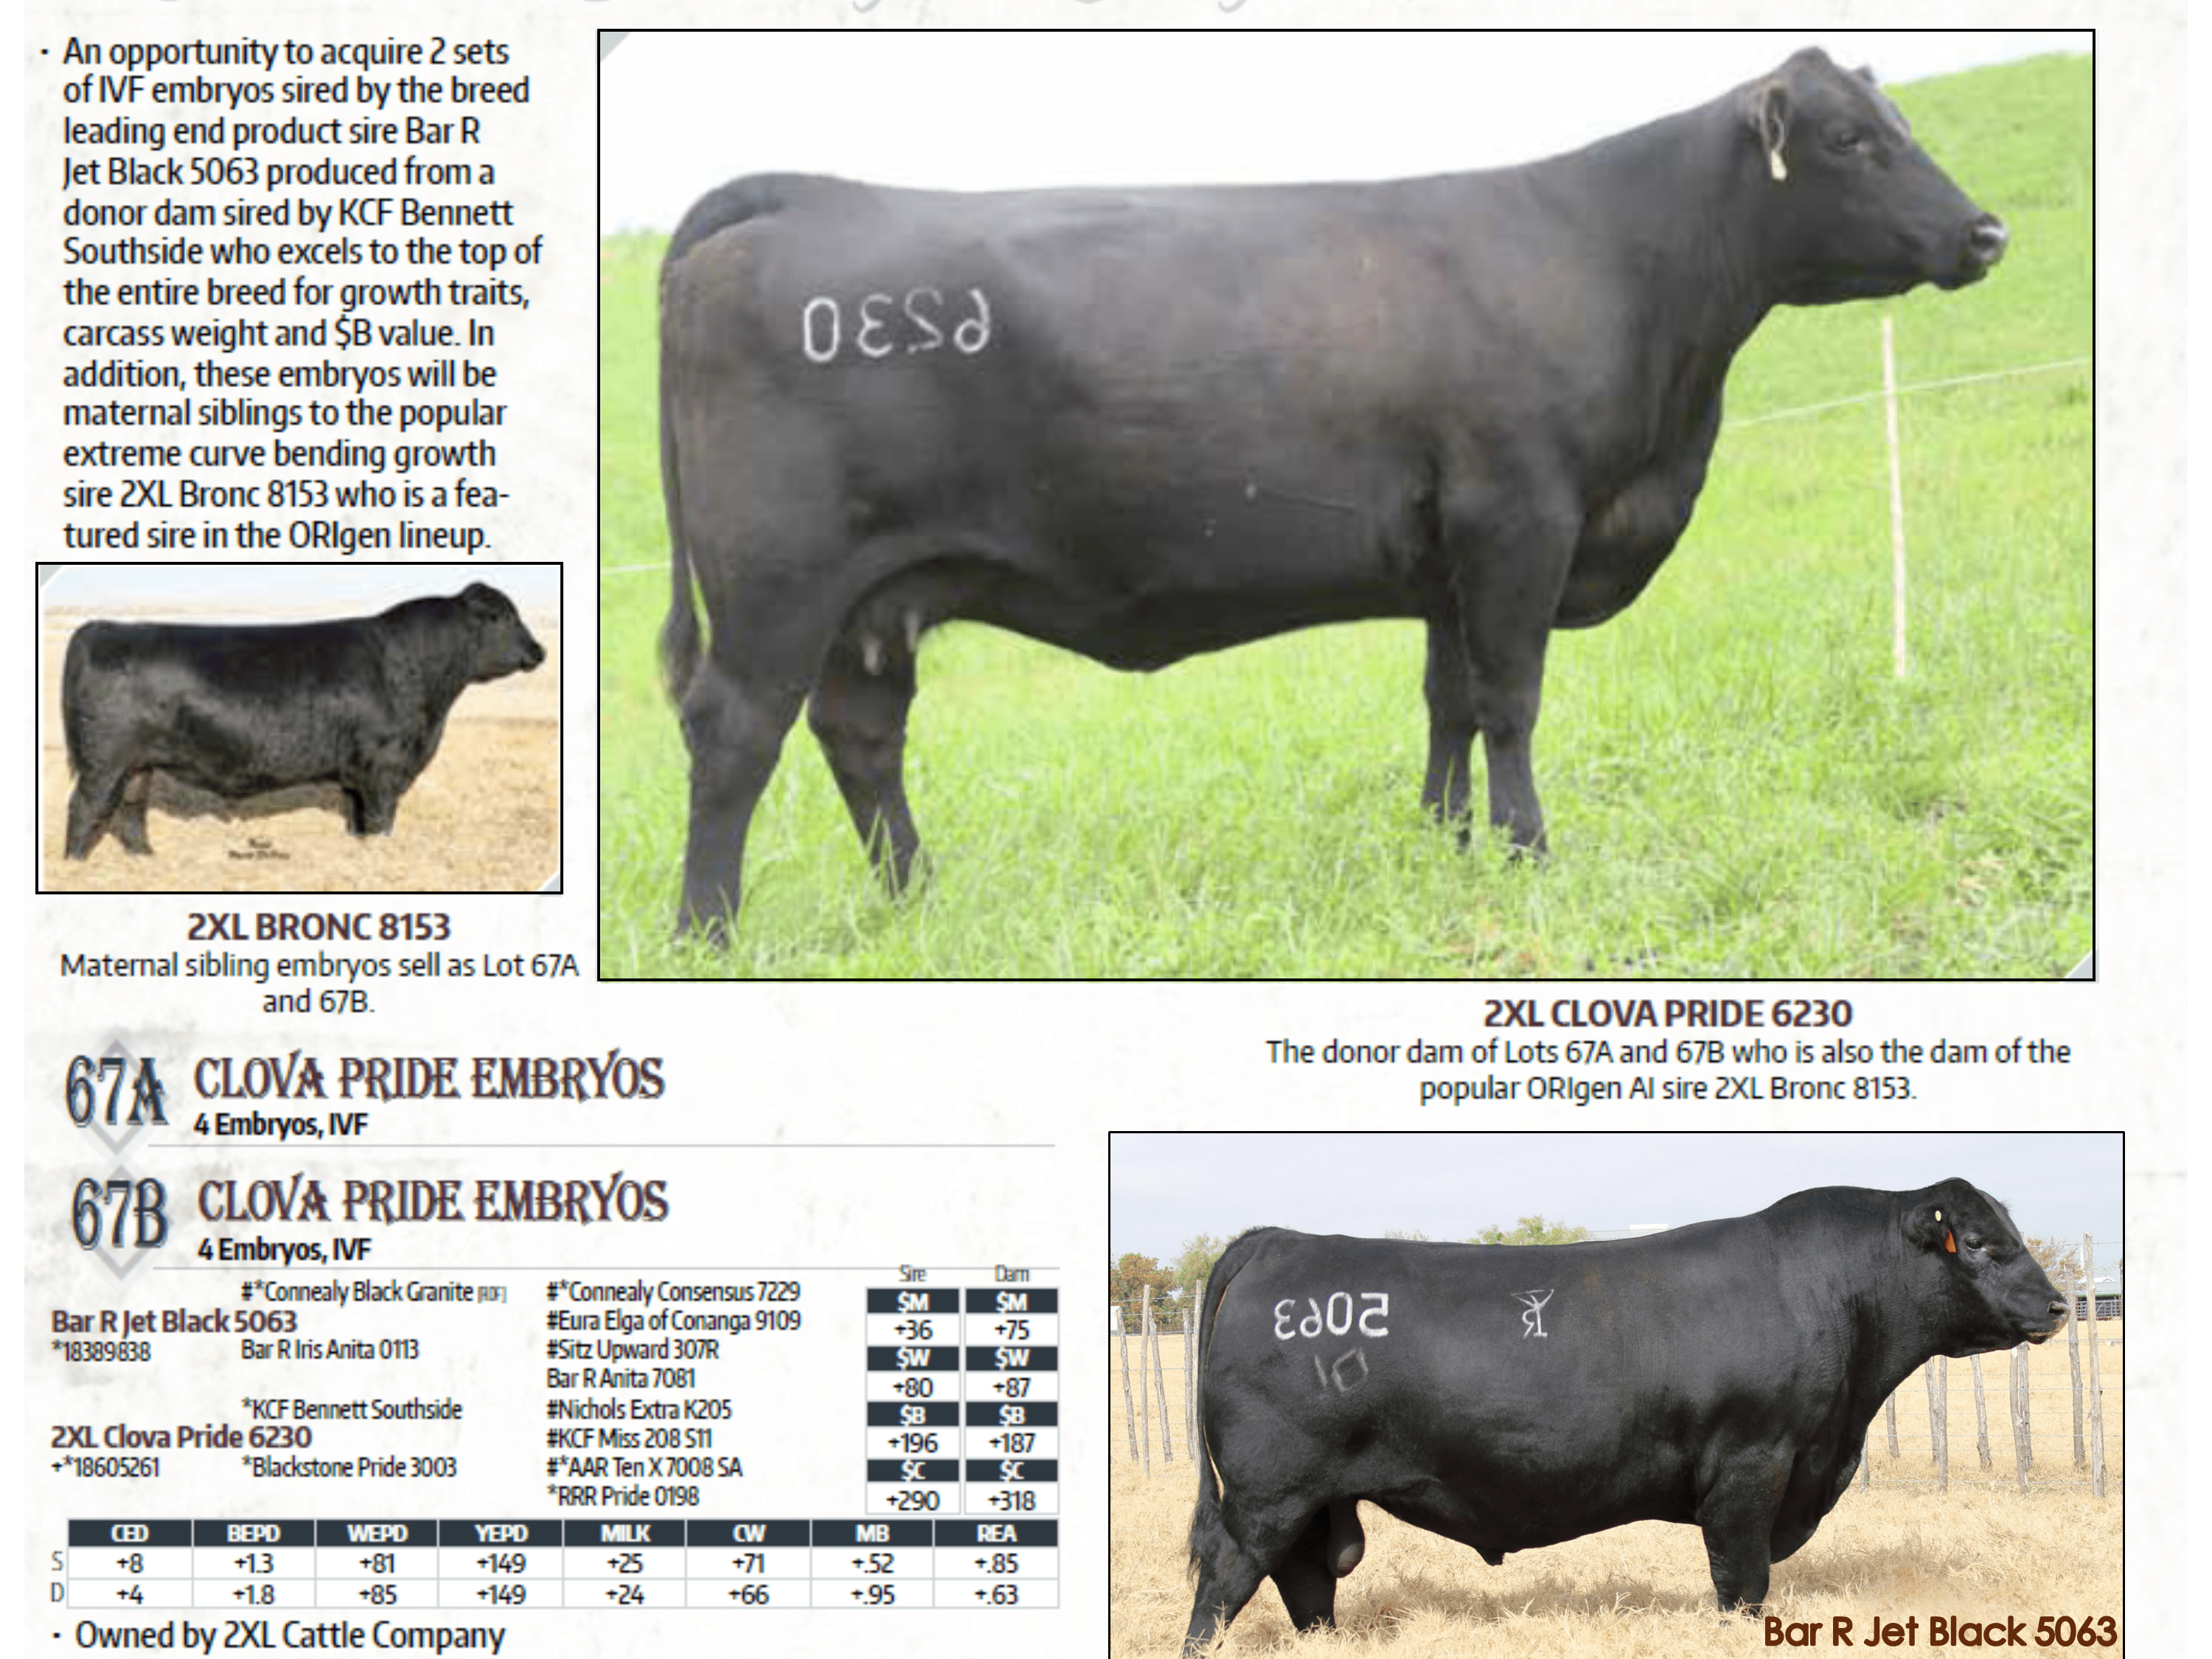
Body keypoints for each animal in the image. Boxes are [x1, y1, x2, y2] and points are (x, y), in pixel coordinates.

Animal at [61, 583, 545, 857]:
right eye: (504, 617)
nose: (539, 651)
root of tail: (101, 626)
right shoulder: (384, 768)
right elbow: (382, 821)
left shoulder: (356, 774)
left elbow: (358, 821)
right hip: (106, 761)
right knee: (85, 807)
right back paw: (75, 865)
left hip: (137, 764)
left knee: (130, 809)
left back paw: (145, 857)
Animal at [656, 48, 2008, 939]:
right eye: (1849, 141)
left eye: (1895, 120)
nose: (1987, 233)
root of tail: (800, 190)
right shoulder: (1520, 516)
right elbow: (1512, 700)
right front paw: (1529, 852)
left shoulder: (1449, 552)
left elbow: (1449, 701)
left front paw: (1442, 844)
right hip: (777, 585)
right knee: (735, 736)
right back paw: (708, 933)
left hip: (873, 600)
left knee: (859, 736)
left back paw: (918, 902)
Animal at [1182, 1180, 2069, 1647]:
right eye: (1981, 1245)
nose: (2061, 1305)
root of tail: (1278, 1238)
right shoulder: (1752, 1463)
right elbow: (1741, 1577)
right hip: (1267, 1492)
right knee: (1227, 1577)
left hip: (1311, 1500)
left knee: (1307, 1582)